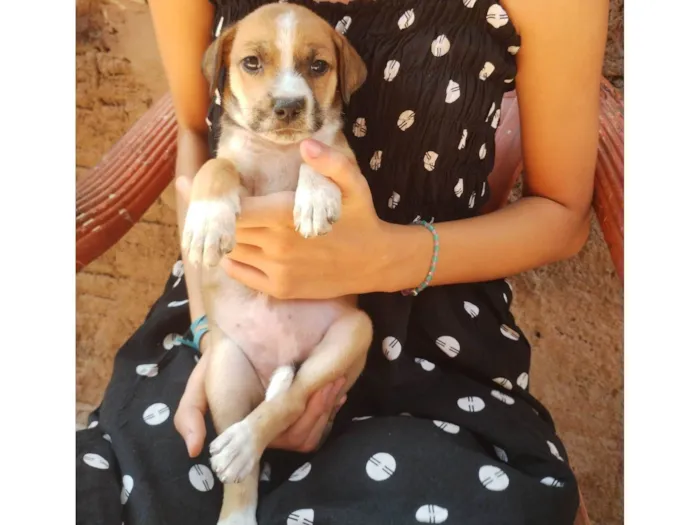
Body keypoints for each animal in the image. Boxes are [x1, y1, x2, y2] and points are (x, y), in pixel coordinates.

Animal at [183, 4, 374, 524]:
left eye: (318, 66)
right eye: (251, 63)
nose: (288, 106)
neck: (278, 149)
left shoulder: (345, 163)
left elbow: (321, 156)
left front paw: (314, 198)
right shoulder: (231, 160)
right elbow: (216, 167)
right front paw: (208, 219)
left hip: (352, 336)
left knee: (289, 400)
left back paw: (247, 440)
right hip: (225, 367)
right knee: (242, 477)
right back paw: (236, 491)